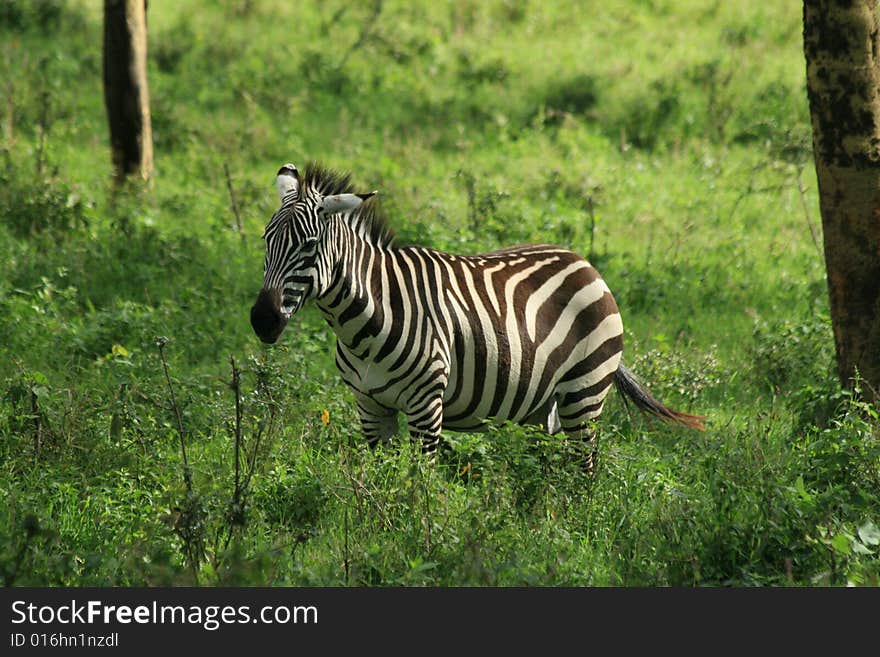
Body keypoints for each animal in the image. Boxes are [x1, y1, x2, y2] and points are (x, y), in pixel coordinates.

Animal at [251, 160, 704, 456]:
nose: (262, 320)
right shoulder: (370, 406)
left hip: (585, 394)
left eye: (310, 246)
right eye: (265, 239)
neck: (364, 320)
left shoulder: (426, 407)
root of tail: (583, 262)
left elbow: (415, 485)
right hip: (544, 408)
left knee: (584, 468)